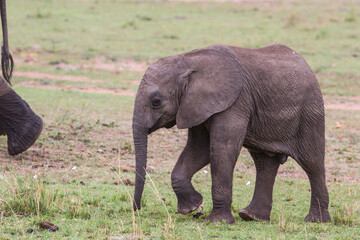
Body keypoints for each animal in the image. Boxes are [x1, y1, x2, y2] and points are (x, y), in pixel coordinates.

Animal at [131, 44, 330, 223]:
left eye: (156, 101)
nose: (137, 209)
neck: (187, 60)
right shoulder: (197, 105)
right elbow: (199, 149)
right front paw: (192, 207)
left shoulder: (235, 101)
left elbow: (222, 149)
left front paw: (217, 221)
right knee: (264, 163)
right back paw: (251, 217)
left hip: (309, 111)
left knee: (312, 162)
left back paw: (315, 220)